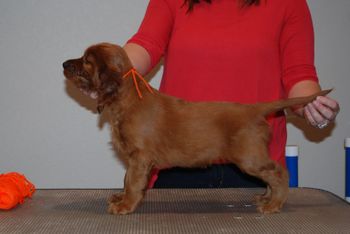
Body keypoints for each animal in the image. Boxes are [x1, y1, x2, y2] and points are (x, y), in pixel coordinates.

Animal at [63, 43, 330, 215]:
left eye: (87, 61)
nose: (64, 63)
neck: (127, 99)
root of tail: (254, 109)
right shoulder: (134, 159)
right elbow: (126, 178)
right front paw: (121, 197)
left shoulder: (140, 158)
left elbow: (132, 181)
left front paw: (125, 205)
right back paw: (266, 197)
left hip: (249, 157)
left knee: (279, 172)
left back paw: (274, 204)